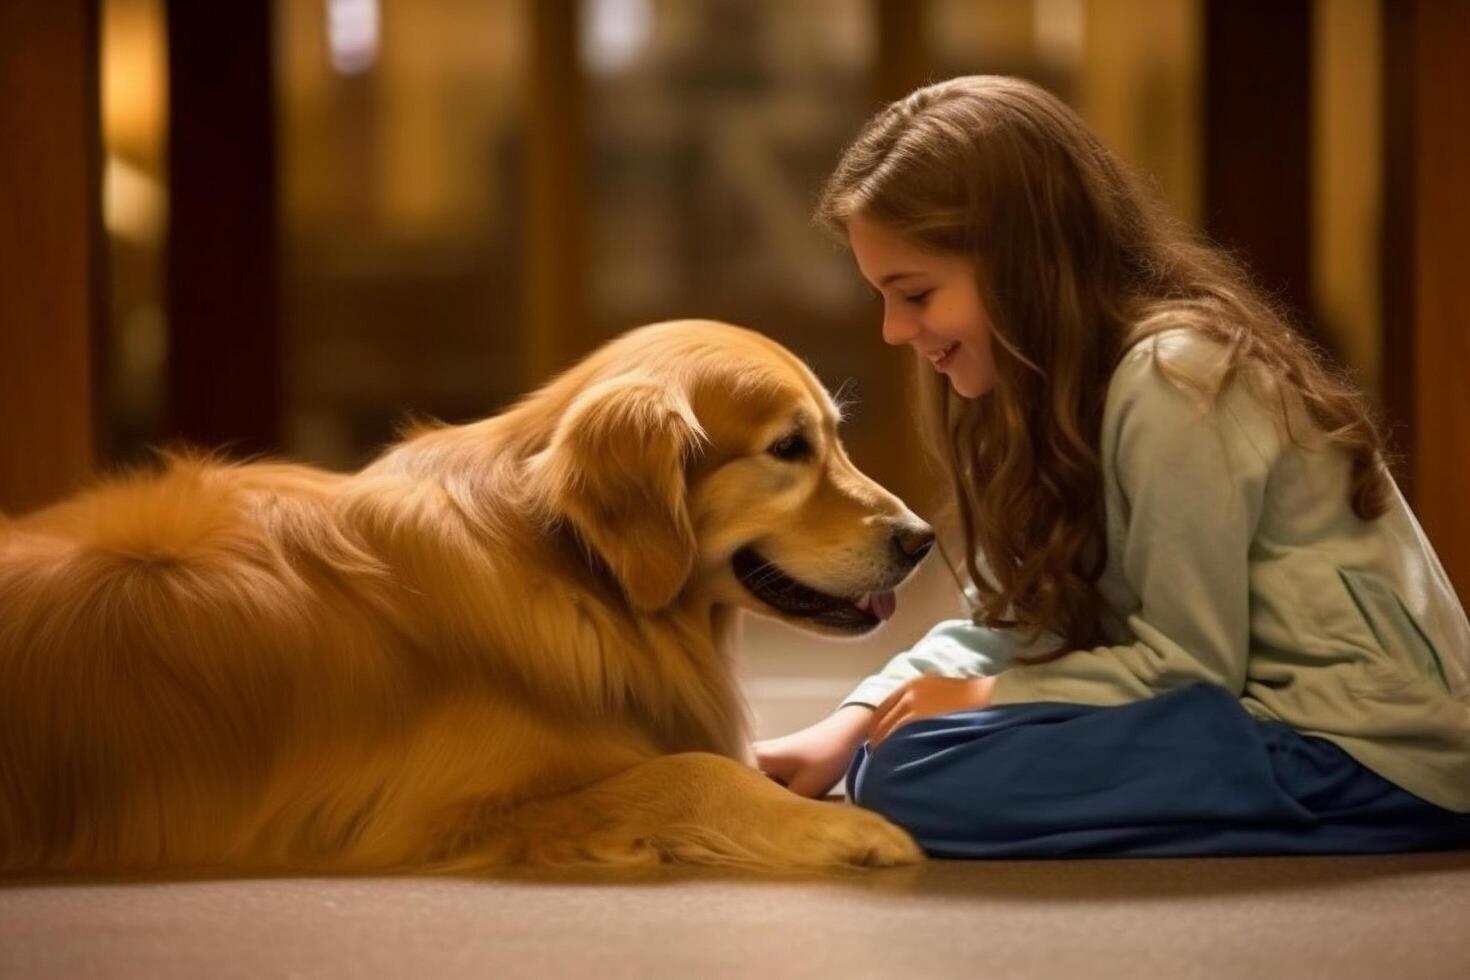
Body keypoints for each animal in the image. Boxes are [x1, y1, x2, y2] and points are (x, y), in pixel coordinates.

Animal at [0, 320, 934, 875]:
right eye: (788, 448)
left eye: (833, 437)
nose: (922, 539)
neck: (565, 570)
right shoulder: (440, 814)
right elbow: (689, 772)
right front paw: (845, 829)